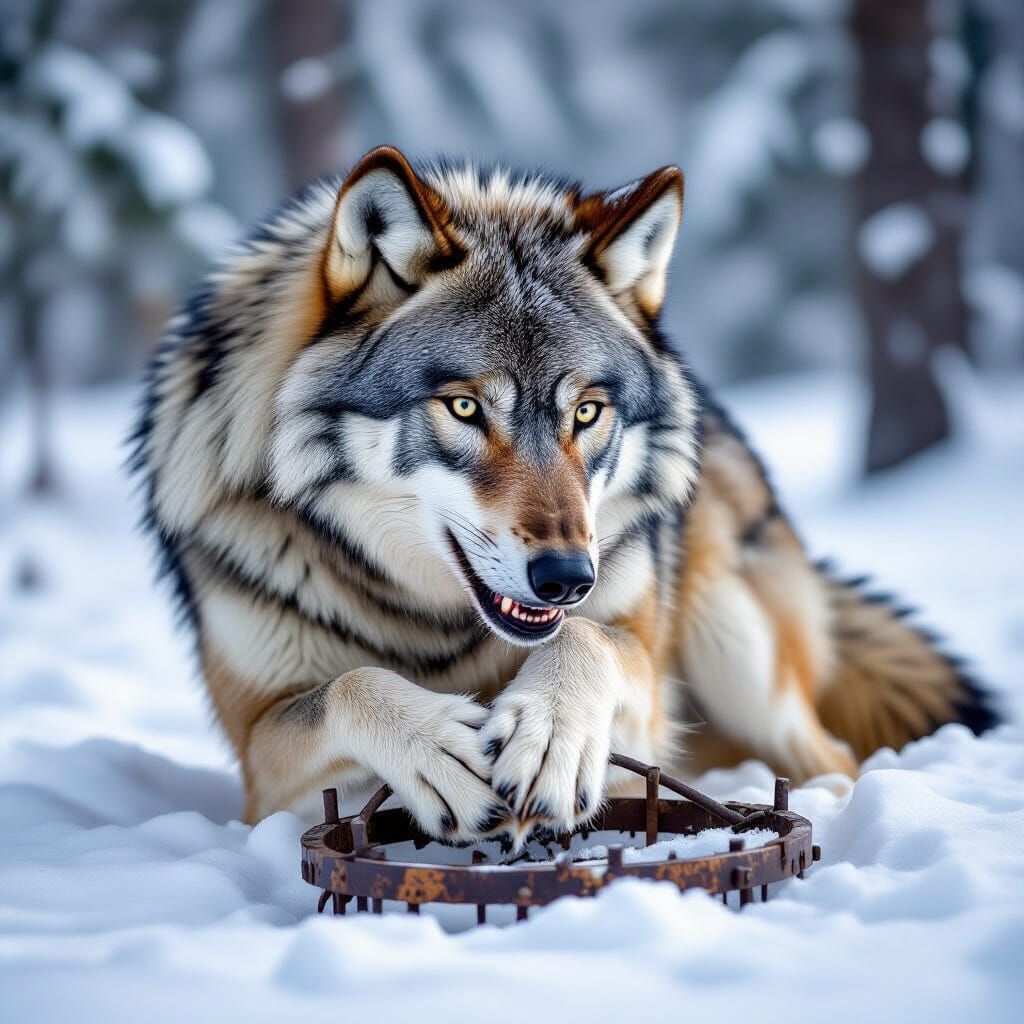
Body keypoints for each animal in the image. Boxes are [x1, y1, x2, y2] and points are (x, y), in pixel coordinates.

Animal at [132, 145, 997, 842]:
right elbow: (349, 683)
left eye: (586, 412)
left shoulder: (640, 684)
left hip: (735, 650)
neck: (435, 627)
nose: (566, 578)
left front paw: (547, 736)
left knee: (835, 756)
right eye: (465, 408)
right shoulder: (259, 761)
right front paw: (440, 747)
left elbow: (584, 640)